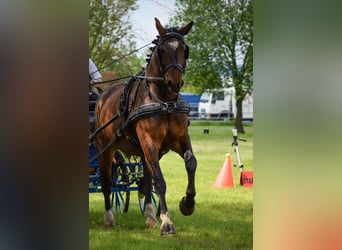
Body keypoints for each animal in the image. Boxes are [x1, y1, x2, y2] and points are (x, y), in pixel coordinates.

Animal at [92, 17, 196, 234]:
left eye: (185, 49)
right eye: (162, 50)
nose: (175, 83)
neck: (165, 101)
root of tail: (103, 95)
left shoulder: (180, 139)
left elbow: (190, 164)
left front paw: (187, 204)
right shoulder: (149, 142)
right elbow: (160, 181)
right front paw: (167, 222)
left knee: (146, 181)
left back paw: (150, 215)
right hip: (104, 148)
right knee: (107, 182)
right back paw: (109, 217)